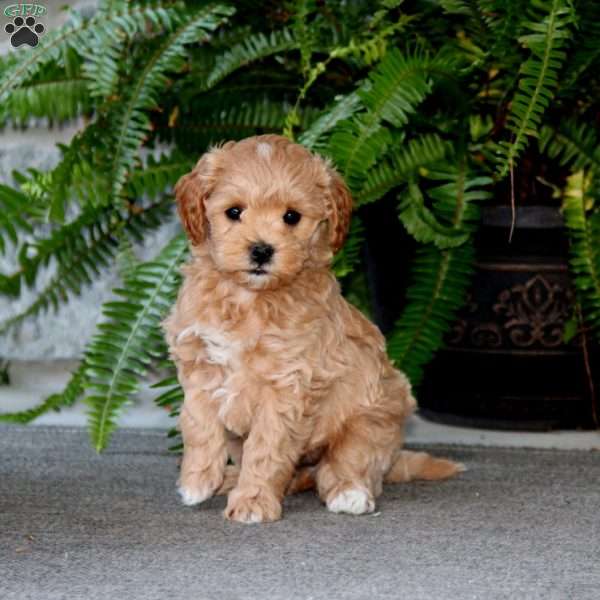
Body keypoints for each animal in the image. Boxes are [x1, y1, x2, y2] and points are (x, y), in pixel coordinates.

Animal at [164, 134, 464, 524]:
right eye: (234, 212)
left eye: (291, 216)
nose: (261, 250)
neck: (250, 298)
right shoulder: (199, 363)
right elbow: (199, 425)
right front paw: (197, 481)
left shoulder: (287, 386)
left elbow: (266, 448)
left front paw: (253, 501)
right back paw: (232, 478)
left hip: (372, 420)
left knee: (344, 466)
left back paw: (349, 493)